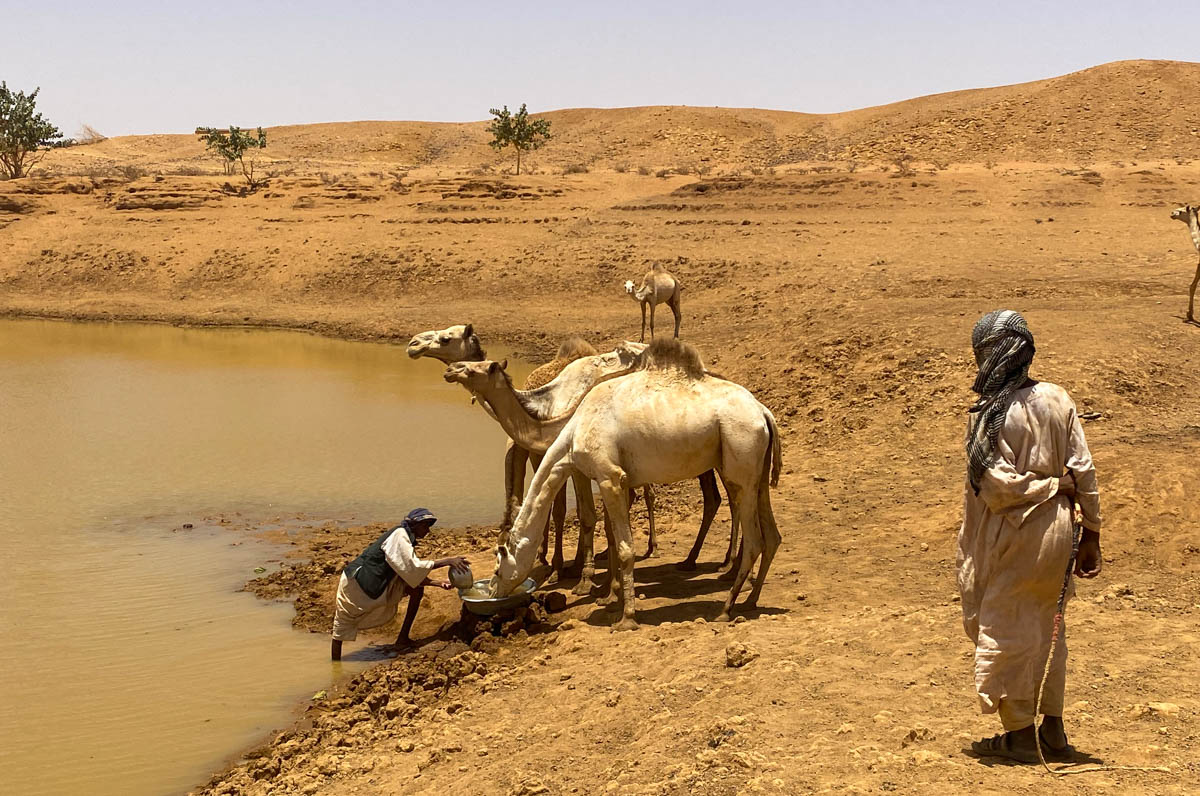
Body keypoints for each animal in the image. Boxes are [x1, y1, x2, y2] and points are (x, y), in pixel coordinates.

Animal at [489, 336, 782, 629]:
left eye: (498, 566)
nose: (493, 592)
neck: (572, 431)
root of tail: (764, 412)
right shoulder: (618, 478)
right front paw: (613, 599)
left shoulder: (610, 477)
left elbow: (625, 548)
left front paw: (626, 617)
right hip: (756, 472)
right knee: (772, 536)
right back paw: (750, 600)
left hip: (740, 456)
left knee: (754, 538)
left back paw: (726, 607)